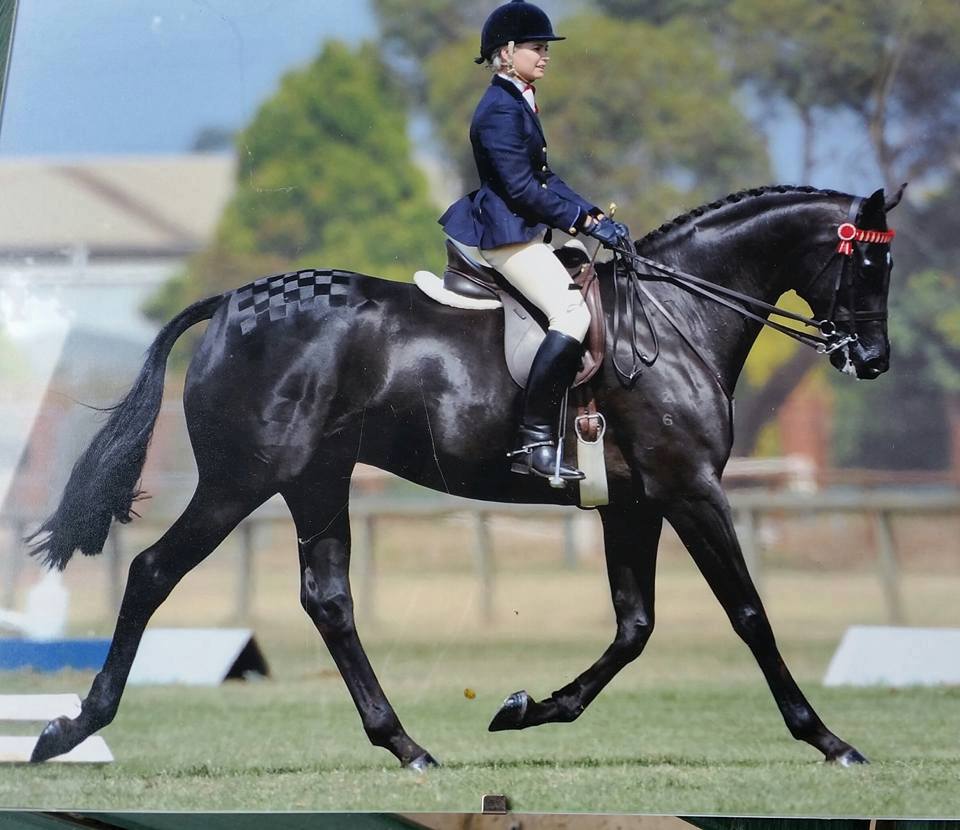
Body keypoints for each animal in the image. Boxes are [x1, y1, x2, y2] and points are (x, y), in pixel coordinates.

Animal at [28, 185, 900, 772]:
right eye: (867, 259)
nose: (872, 360)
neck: (672, 321)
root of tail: (232, 304)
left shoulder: (633, 505)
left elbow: (634, 626)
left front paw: (526, 709)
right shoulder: (691, 492)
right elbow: (749, 614)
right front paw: (828, 739)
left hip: (317, 479)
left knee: (328, 600)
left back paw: (405, 744)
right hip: (241, 480)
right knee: (153, 571)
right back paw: (68, 730)